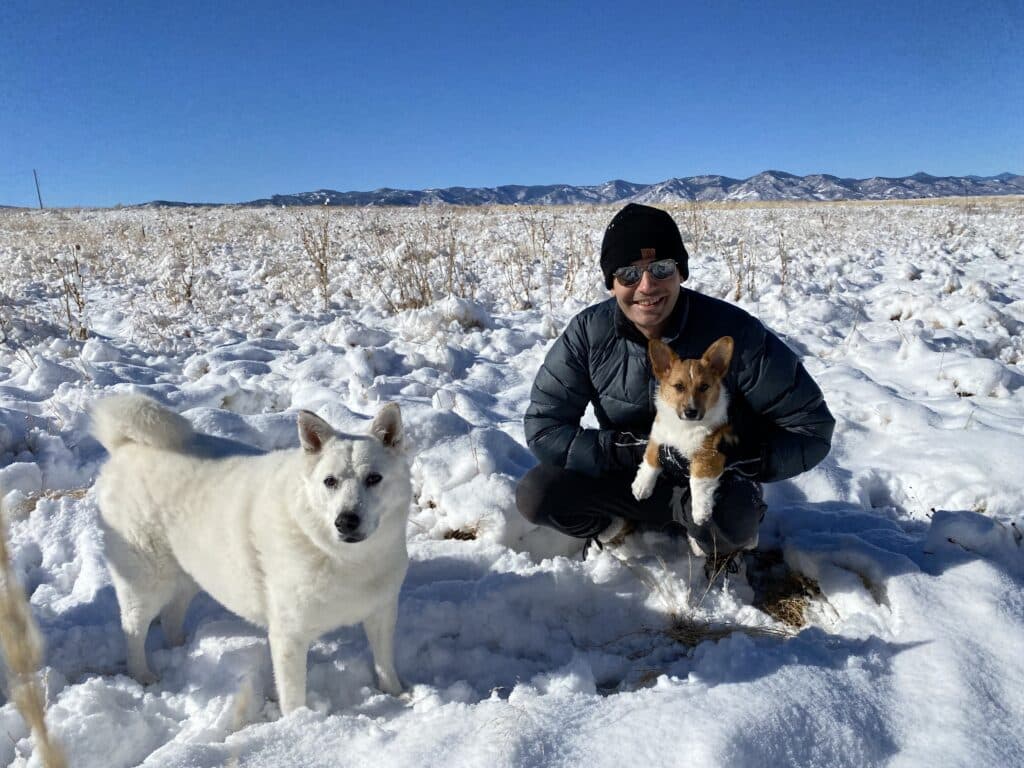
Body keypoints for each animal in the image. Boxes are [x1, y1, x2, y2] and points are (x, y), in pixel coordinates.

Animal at [88, 397, 407, 716]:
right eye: (330, 481)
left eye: (374, 478)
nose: (346, 521)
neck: (345, 556)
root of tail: (125, 445)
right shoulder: (289, 635)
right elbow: (293, 696)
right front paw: (299, 723)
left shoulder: (382, 612)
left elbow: (385, 663)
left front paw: (397, 695)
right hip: (144, 582)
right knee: (134, 629)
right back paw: (142, 674)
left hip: (192, 570)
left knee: (171, 614)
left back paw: (182, 645)